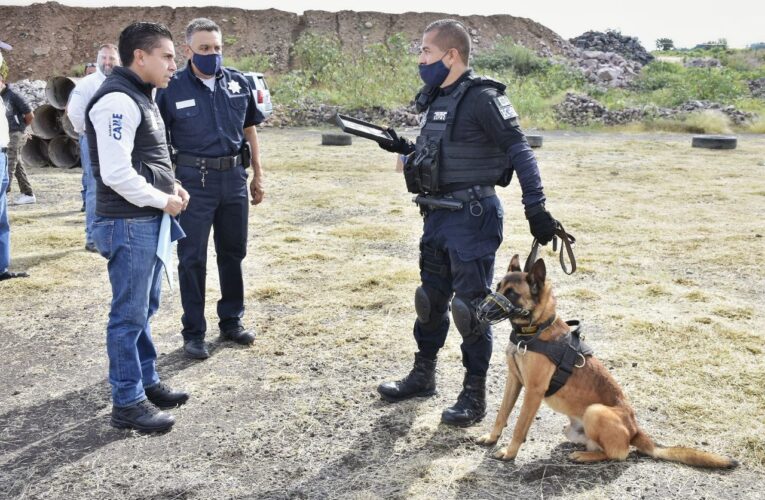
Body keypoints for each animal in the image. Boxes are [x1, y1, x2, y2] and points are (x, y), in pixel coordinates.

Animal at [474, 256, 736, 466]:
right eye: (498, 287)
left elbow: (519, 425)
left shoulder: (533, 392)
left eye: (512, 294)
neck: (535, 330)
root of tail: (636, 430)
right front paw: (492, 438)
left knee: (619, 453)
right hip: (572, 427)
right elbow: (502, 413)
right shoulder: (514, 380)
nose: (480, 310)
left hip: (596, 411)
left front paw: (509, 452)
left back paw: (584, 456)